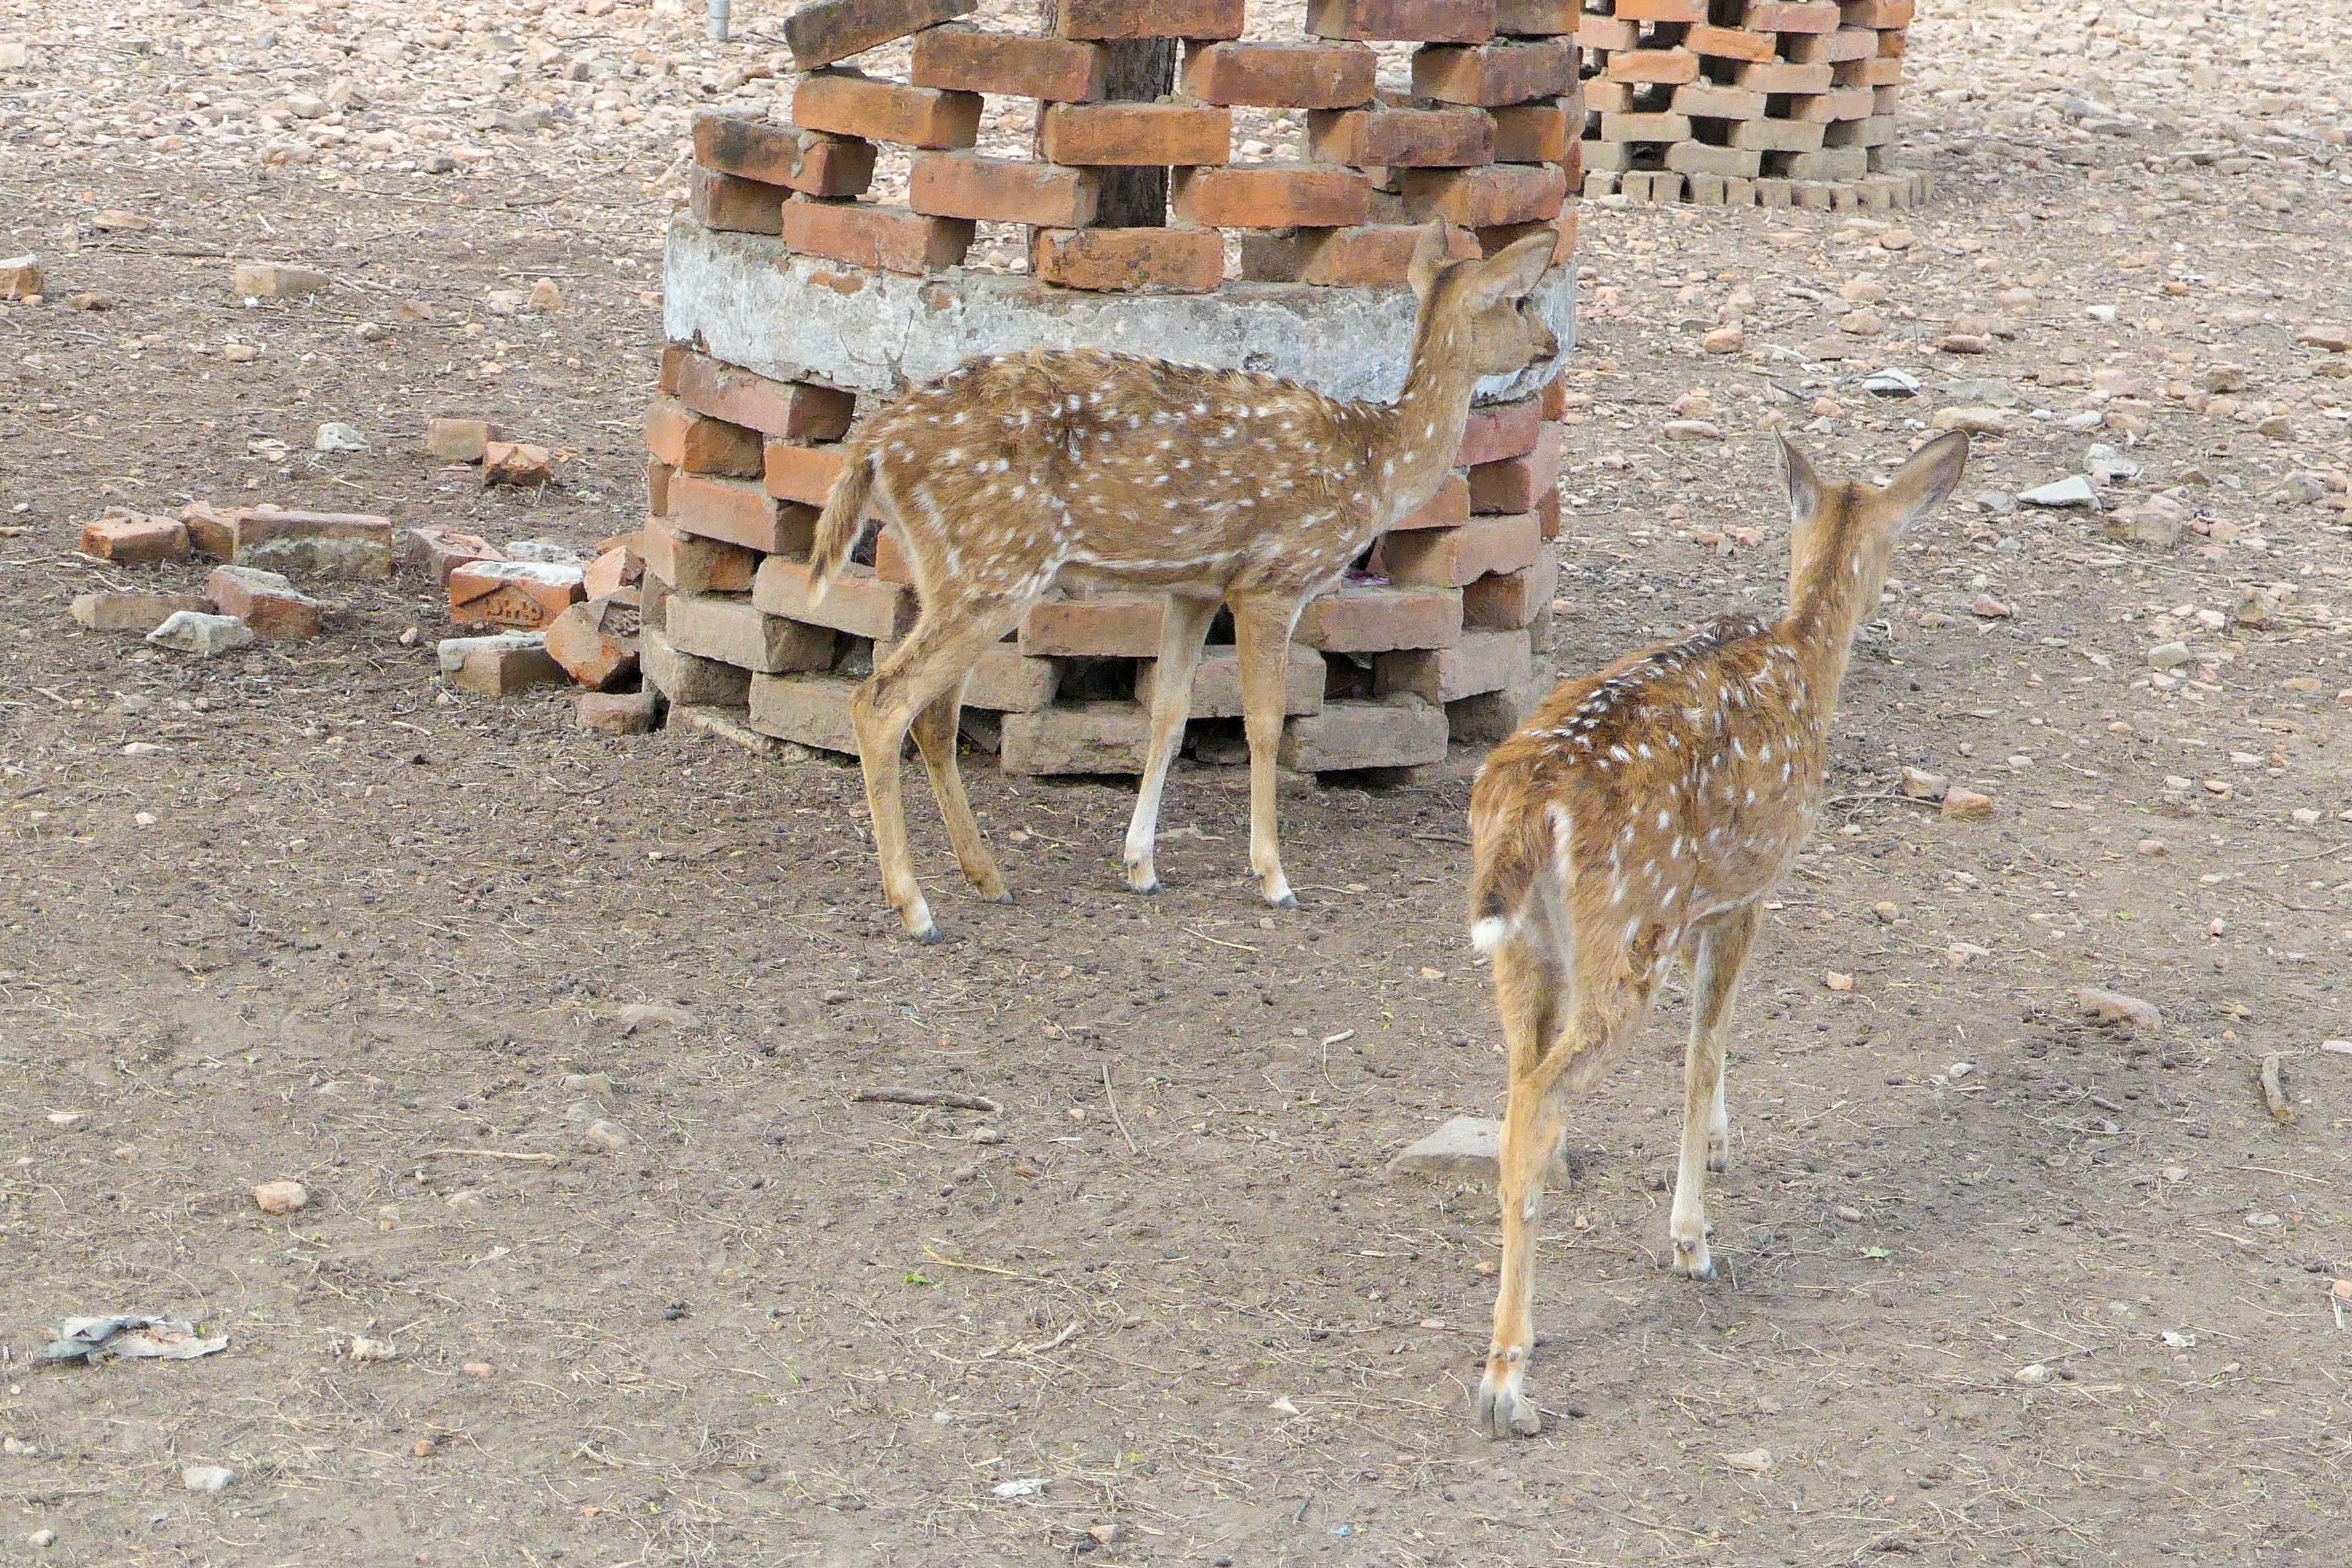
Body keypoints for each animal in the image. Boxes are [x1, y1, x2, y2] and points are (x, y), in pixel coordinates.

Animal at [807, 220, 1563, 943]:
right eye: (1520, 300)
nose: (1552, 343)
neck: (1376, 468)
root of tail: (874, 444)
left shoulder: (1194, 587)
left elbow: (1169, 714)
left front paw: (1141, 865)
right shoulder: (1272, 578)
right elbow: (1265, 724)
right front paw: (1273, 877)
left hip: (955, 569)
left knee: (934, 715)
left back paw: (988, 877)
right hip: (996, 567)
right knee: (881, 702)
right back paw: (917, 909)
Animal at [1459, 430, 1970, 1439]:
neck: (1803, 657)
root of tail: (1531, 799)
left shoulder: (1703, 904)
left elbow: (1715, 1041)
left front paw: (1725, 1147)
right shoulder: (1750, 887)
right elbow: (1705, 1045)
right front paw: (1692, 1237)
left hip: (1523, 944)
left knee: (1516, 1095)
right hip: (1627, 926)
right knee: (1539, 1101)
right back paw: (1506, 1385)